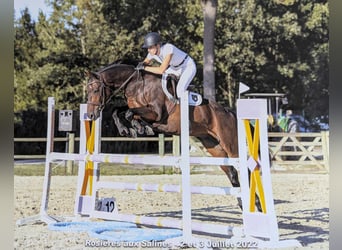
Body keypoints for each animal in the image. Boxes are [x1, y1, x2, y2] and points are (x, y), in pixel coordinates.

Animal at [85, 61, 262, 210]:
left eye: (95, 90)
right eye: (87, 90)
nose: (91, 115)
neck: (136, 85)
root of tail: (231, 113)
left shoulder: (155, 114)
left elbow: (130, 113)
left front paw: (140, 128)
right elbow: (118, 111)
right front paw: (128, 130)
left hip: (232, 147)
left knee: (246, 170)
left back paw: (256, 204)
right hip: (215, 149)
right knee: (232, 173)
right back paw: (244, 204)